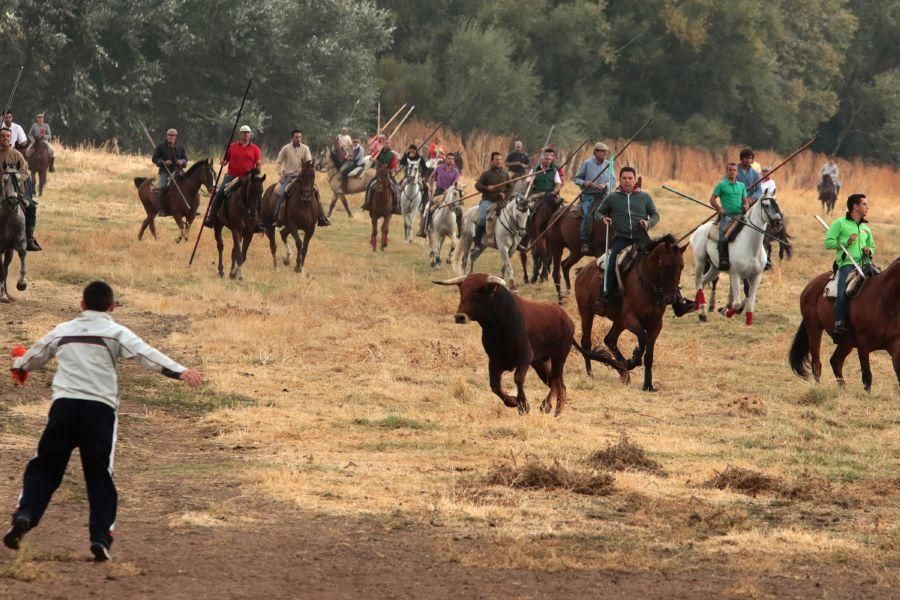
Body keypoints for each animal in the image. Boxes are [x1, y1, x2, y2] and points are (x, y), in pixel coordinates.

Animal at [432, 274, 572, 414]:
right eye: (462, 291)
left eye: (476, 292)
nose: (459, 317)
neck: (499, 326)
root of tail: (565, 316)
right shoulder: (494, 361)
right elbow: (495, 386)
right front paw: (513, 402)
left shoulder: (524, 357)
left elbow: (518, 379)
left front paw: (523, 406)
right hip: (540, 362)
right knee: (558, 383)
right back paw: (557, 409)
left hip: (559, 357)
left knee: (556, 380)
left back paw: (547, 405)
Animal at [576, 232, 688, 392]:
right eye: (665, 265)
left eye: (681, 266)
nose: (670, 299)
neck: (648, 285)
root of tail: (582, 271)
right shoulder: (630, 319)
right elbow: (643, 338)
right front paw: (634, 359)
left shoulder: (655, 324)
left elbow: (649, 354)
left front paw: (648, 385)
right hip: (587, 314)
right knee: (586, 343)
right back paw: (592, 373)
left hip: (618, 322)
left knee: (610, 340)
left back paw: (622, 370)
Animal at [692, 197, 784, 326]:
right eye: (766, 205)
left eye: (777, 204)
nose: (778, 222)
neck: (751, 247)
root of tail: (700, 229)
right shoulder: (735, 275)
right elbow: (737, 303)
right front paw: (726, 312)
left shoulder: (756, 276)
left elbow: (750, 301)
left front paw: (748, 320)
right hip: (700, 261)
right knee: (698, 281)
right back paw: (703, 312)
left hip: (715, 268)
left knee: (703, 281)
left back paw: (702, 311)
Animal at [792, 258, 896, 392]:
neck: (883, 299)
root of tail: (810, 286)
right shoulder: (863, 342)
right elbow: (867, 375)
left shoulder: (895, 346)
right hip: (814, 328)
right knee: (816, 364)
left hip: (846, 341)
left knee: (835, 361)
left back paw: (843, 390)